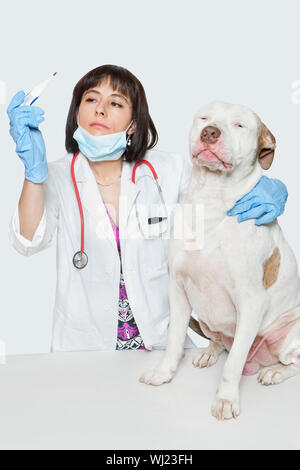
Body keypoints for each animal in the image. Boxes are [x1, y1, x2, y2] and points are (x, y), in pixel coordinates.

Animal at [139, 101, 300, 420]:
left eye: (239, 125)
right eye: (204, 117)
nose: (210, 132)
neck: (211, 200)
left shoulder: (251, 302)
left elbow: (233, 361)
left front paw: (225, 400)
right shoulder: (177, 289)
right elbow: (174, 341)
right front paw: (164, 373)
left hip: (292, 333)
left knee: (291, 362)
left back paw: (275, 371)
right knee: (219, 342)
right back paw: (208, 352)